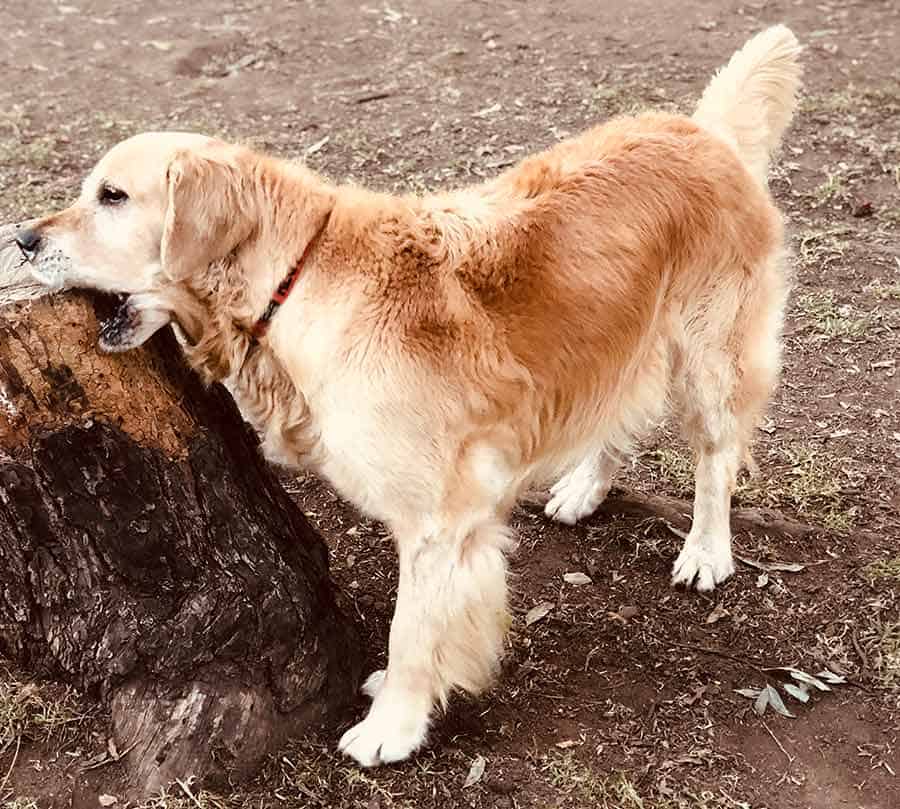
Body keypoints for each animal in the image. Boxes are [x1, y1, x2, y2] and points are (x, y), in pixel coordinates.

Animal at [15, 25, 800, 764]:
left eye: (112, 196)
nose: (22, 238)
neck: (294, 279)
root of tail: (705, 132)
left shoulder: (436, 521)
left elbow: (412, 630)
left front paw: (393, 724)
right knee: (620, 417)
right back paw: (584, 488)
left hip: (710, 354)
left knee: (716, 456)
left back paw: (706, 550)